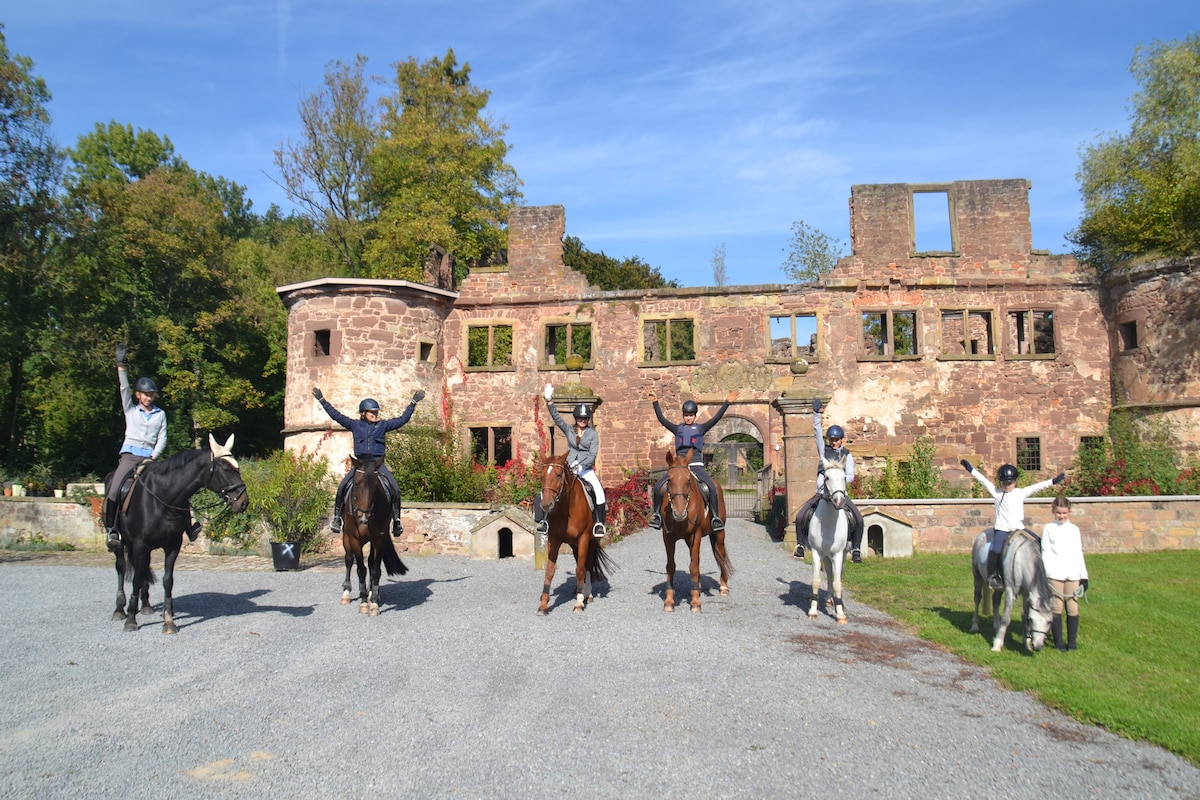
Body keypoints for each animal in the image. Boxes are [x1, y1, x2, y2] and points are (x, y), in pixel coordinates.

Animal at [108, 434, 248, 633]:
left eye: (237, 467)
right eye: (226, 468)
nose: (243, 502)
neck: (162, 497)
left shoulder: (172, 545)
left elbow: (168, 580)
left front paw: (168, 620)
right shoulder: (140, 544)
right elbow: (135, 579)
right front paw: (131, 620)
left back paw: (146, 606)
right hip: (122, 545)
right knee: (121, 568)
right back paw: (120, 609)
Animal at [340, 453, 410, 618]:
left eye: (375, 487)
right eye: (357, 484)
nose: (363, 517)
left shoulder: (379, 539)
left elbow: (375, 570)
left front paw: (374, 603)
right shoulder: (354, 539)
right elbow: (360, 569)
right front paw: (364, 602)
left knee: (371, 563)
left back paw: (372, 593)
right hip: (346, 537)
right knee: (348, 560)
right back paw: (346, 593)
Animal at [537, 453, 614, 618]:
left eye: (559, 475)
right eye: (542, 475)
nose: (546, 505)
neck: (566, 507)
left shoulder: (583, 538)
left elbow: (580, 569)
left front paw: (579, 603)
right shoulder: (554, 539)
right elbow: (550, 570)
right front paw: (543, 605)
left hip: (591, 542)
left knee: (588, 565)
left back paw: (587, 595)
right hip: (573, 545)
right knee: (581, 561)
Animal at [657, 443, 729, 614]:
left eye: (688, 480)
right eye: (669, 480)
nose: (679, 513)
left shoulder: (696, 535)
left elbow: (693, 566)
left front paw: (696, 602)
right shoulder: (667, 537)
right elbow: (671, 566)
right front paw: (669, 600)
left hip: (719, 534)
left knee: (721, 555)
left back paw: (723, 586)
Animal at [806, 453, 854, 623]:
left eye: (844, 477)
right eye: (826, 477)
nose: (839, 500)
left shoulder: (838, 554)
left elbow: (838, 582)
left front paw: (840, 614)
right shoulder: (816, 552)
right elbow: (816, 581)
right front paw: (813, 611)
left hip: (843, 554)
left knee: (837, 575)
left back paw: (837, 602)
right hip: (826, 556)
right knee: (828, 573)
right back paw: (828, 599)